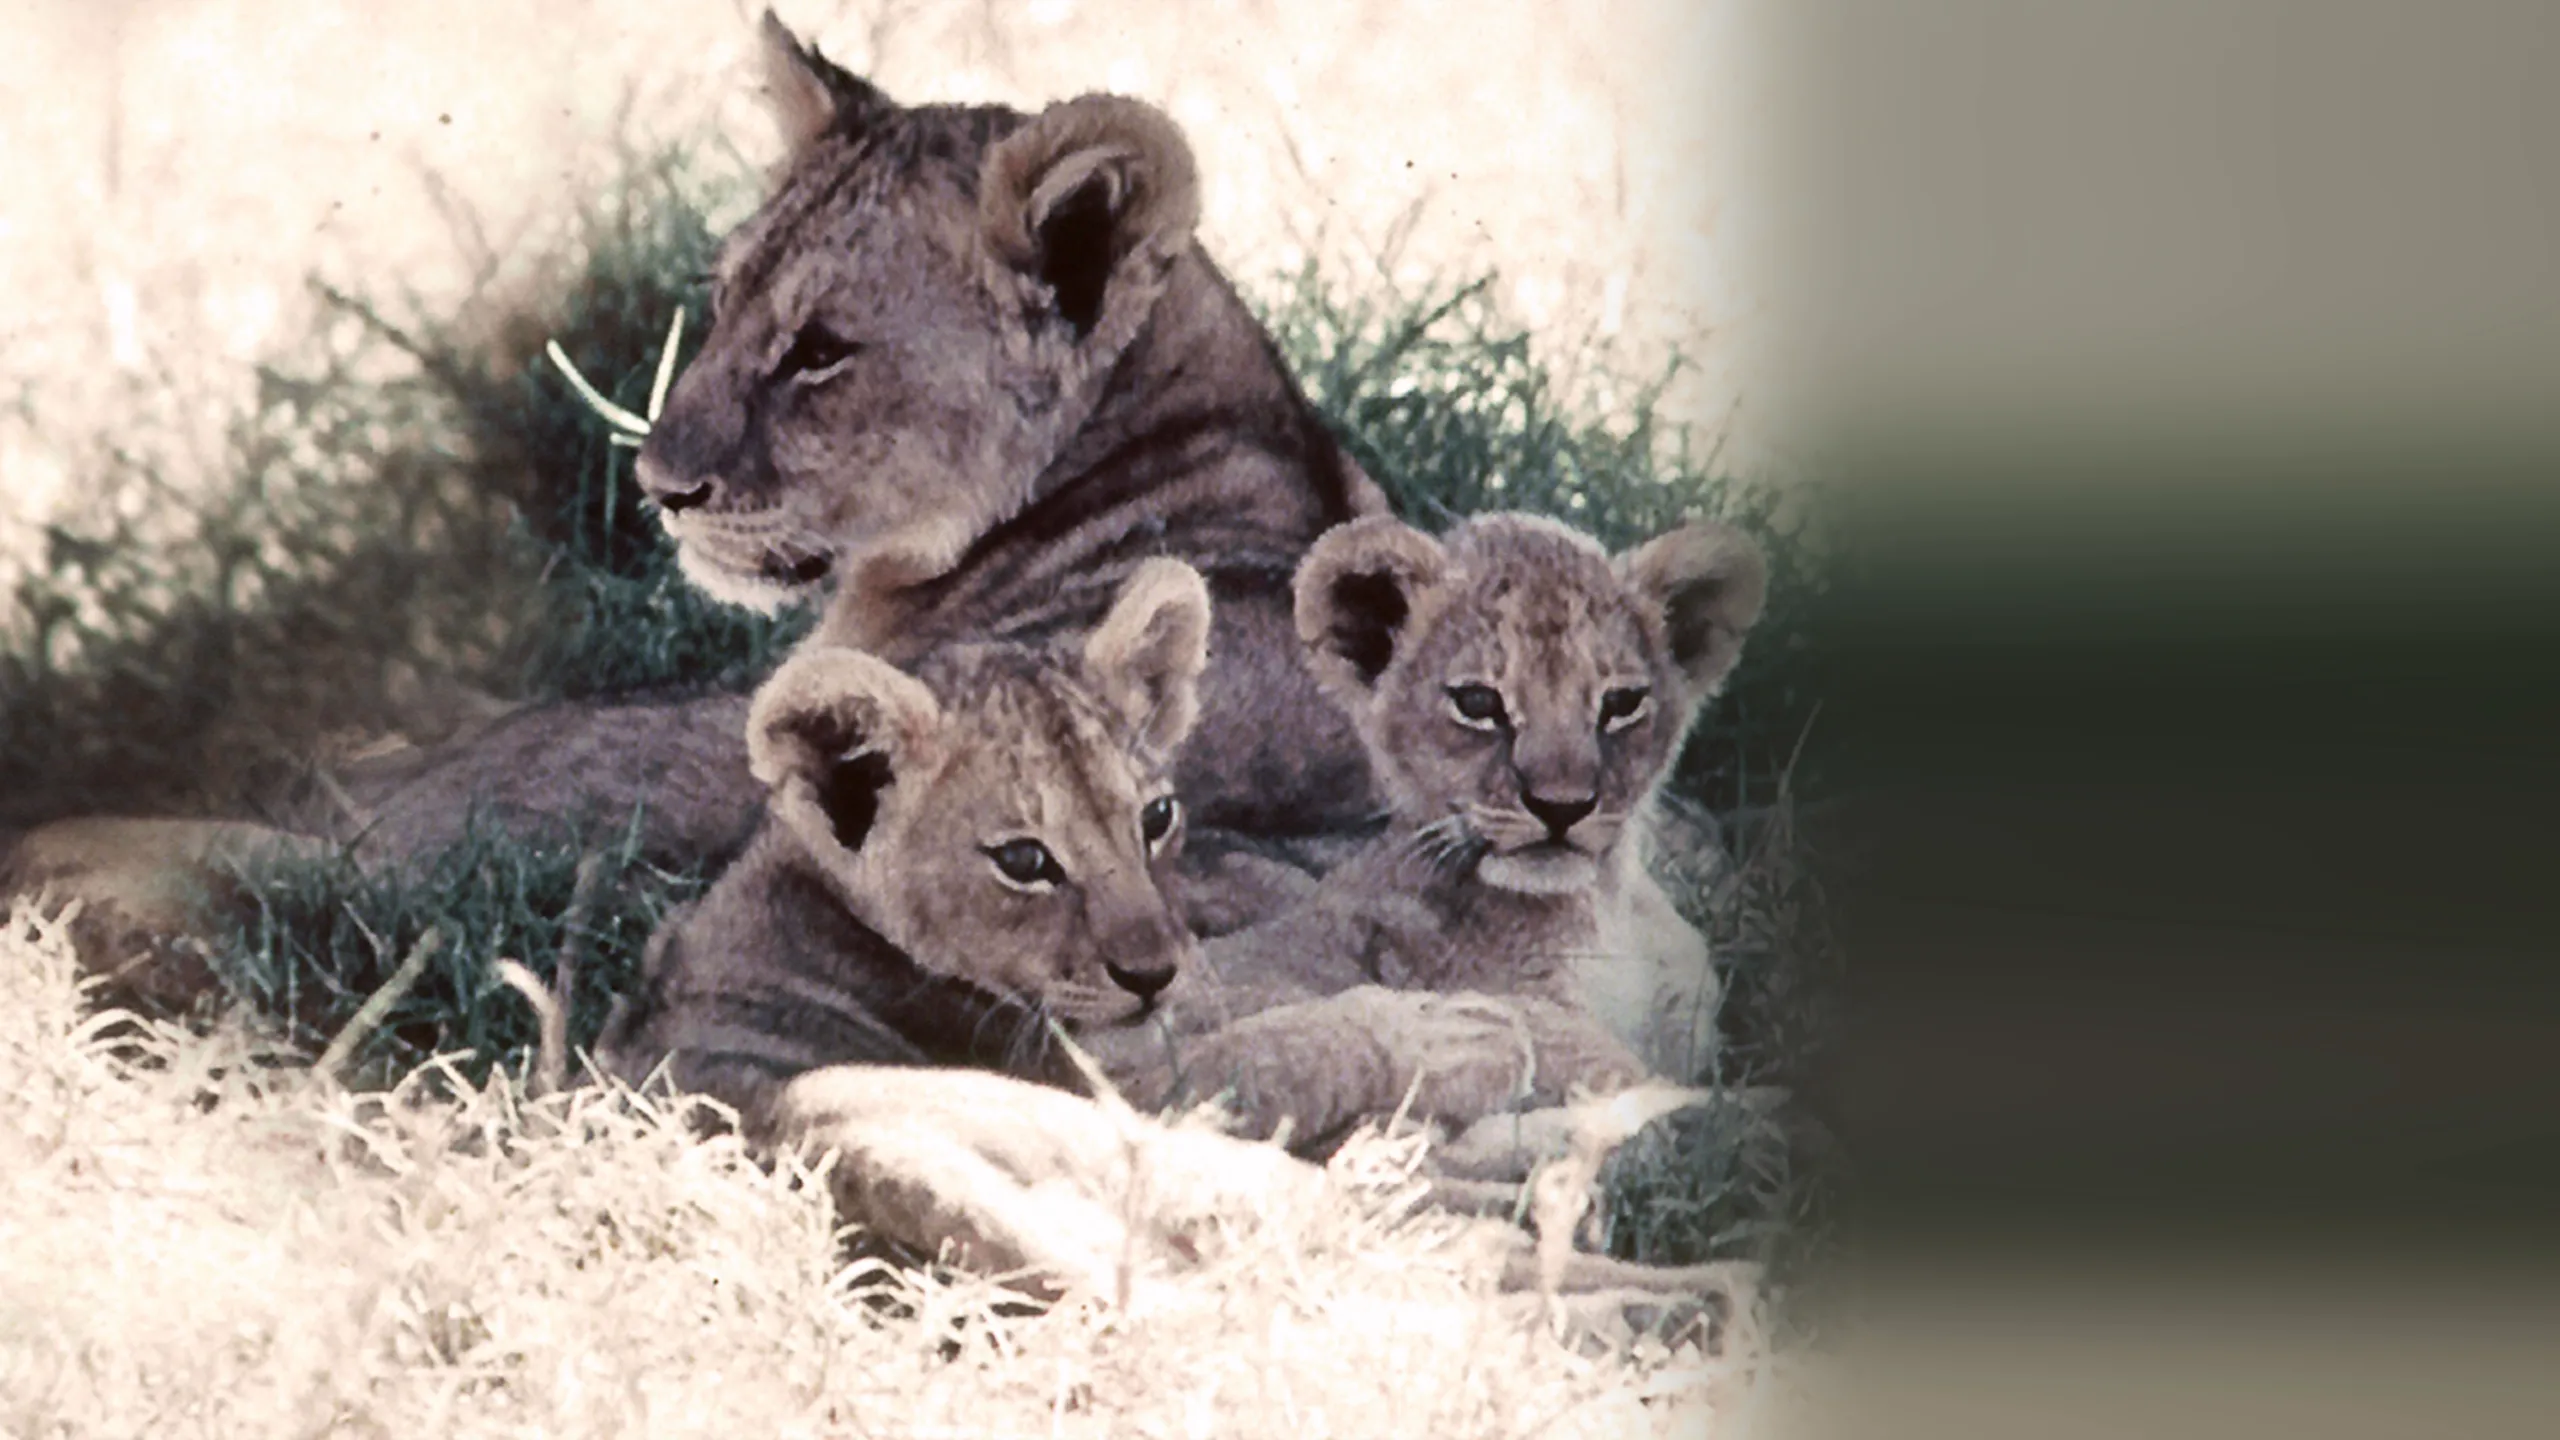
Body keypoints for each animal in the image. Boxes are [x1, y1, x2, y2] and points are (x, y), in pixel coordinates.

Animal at [1086, 512, 1768, 1152]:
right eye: (1478, 703)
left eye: (1621, 703)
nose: (1561, 806)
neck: (1606, 908)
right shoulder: (1534, 1019)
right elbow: (1658, 1100)